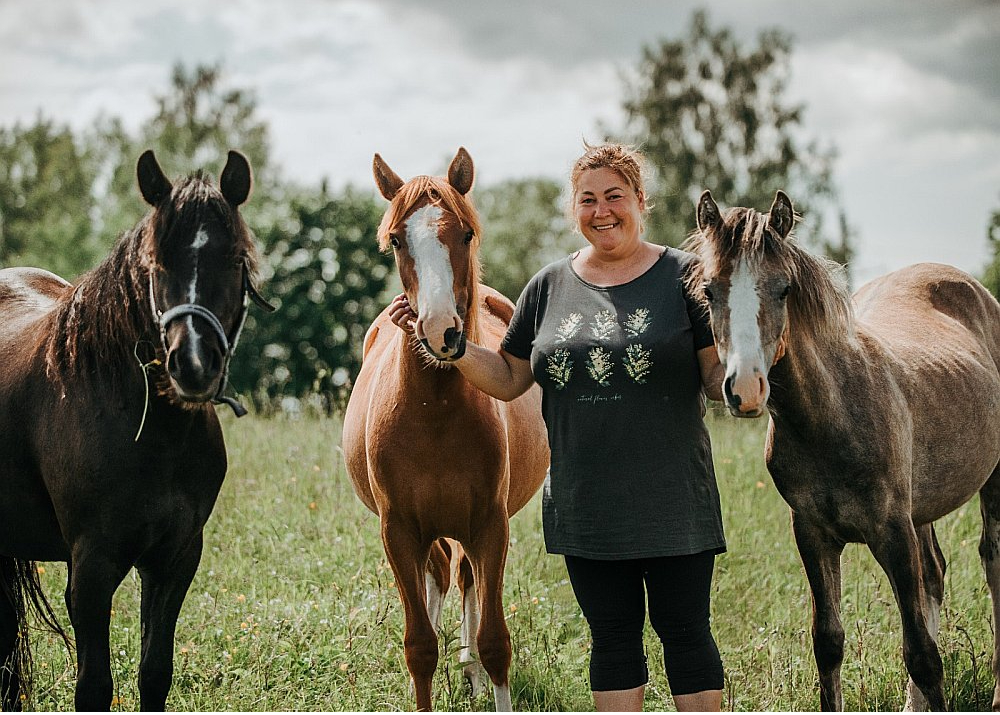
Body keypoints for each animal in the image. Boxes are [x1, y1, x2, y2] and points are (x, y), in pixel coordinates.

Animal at [0, 150, 274, 712]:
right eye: (156, 264)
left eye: (236, 259)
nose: (193, 364)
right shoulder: (91, 571)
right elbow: (94, 688)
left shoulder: (174, 561)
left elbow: (155, 674)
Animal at [342, 147, 548, 712]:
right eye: (395, 239)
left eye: (467, 233)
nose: (441, 333)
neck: (432, 414)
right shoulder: (398, 531)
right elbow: (419, 645)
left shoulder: (490, 527)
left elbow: (495, 641)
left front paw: (482, 673)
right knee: (437, 577)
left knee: (465, 580)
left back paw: (469, 670)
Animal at [684, 190, 1000, 712]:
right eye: (710, 291)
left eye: (784, 289)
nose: (746, 390)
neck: (831, 418)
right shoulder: (813, 534)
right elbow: (828, 642)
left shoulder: (892, 532)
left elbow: (922, 654)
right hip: (921, 510)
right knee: (935, 573)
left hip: (990, 484)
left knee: (992, 562)